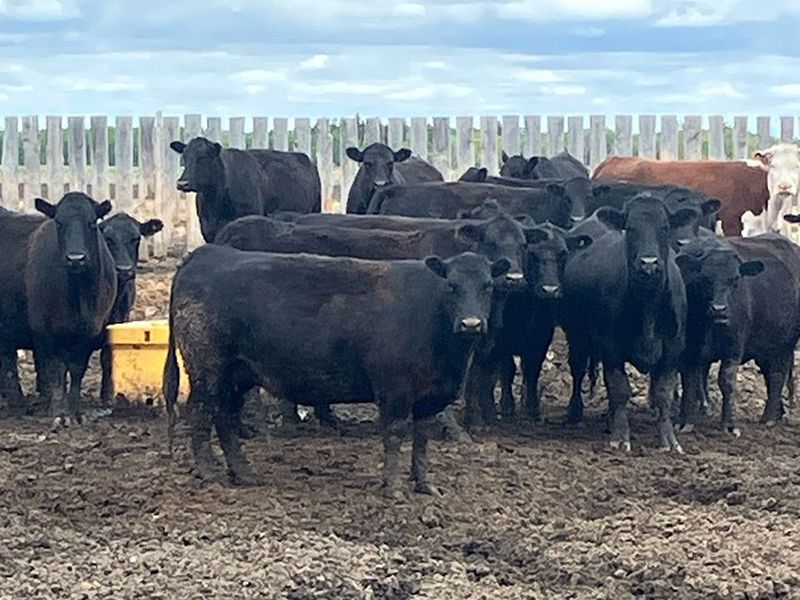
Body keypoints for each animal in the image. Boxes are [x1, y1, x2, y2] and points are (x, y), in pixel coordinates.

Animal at [25, 193, 117, 425]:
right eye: (59, 222)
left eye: (92, 222)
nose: (76, 259)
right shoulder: (43, 331)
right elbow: (56, 371)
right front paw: (59, 413)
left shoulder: (90, 331)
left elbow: (76, 370)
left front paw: (76, 412)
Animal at [98, 213, 164, 405]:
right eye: (108, 239)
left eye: (136, 238)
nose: (124, 270)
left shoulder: (119, 317)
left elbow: (107, 356)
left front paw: (107, 396)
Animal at [164, 246, 509, 495]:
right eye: (451, 285)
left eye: (488, 286)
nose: (470, 324)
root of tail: (205, 253)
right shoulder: (395, 390)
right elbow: (395, 433)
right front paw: (393, 487)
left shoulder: (430, 397)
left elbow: (422, 439)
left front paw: (424, 484)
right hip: (208, 371)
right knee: (201, 414)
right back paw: (208, 473)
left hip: (238, 375)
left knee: (226, 419)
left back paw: (245, 474)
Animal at [560, 195, 692, 451]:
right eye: (630, 228)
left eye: (665, 227)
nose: (649, 263)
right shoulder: (611, 346)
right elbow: (619, 389)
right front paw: (620, 437)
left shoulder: (673, 348)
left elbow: (663, 393)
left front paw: (669, 439)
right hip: (576, 333)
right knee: (578, 369)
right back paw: (575, 414)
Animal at [676, 232, 800, 430]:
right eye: (705, 278)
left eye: (735, 279)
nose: (719, 309)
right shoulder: (688, 350)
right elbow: (689, 382)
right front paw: (686, 421)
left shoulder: (733, 347)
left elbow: (726, 381)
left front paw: (728, 422)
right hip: (764, 349)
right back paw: (777, 413)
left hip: (784, 345)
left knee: (777, 375)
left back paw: (769, 417)